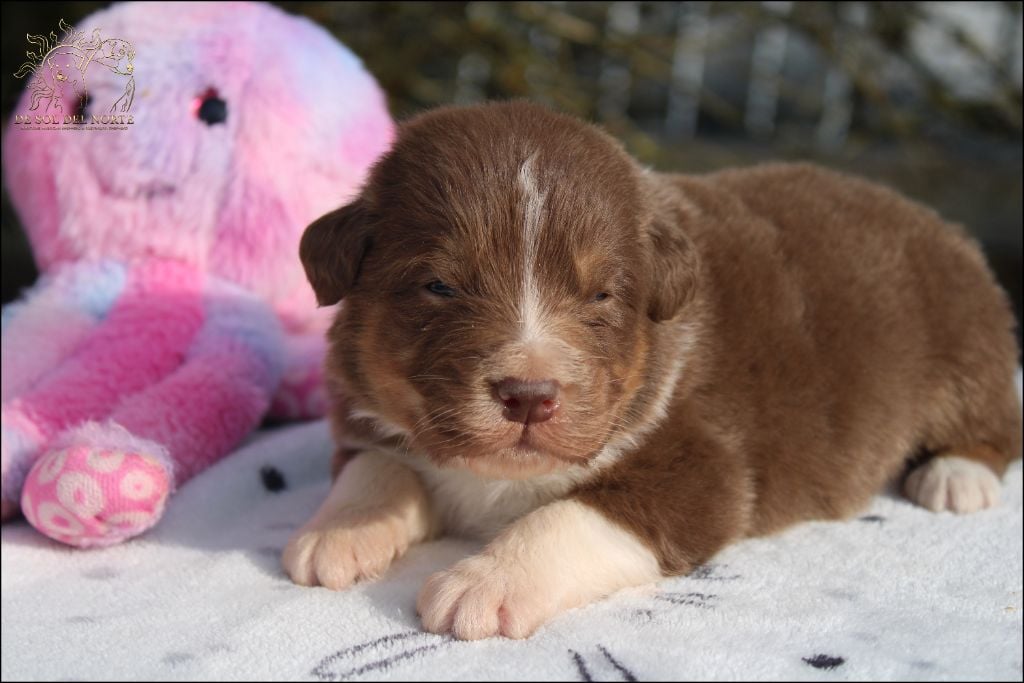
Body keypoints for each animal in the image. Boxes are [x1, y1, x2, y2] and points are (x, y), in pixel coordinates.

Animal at [282, 100, 1024, 643]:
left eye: (600, 296)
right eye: (439, 286)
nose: (530, 395)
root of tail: (937, 221)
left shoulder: (701, 464)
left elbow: (571, 513)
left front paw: (485, 581)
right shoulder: (366, 417)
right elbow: (375, 465)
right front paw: (337, 533)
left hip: (966, 335)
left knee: (995, 419)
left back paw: (956, 476)